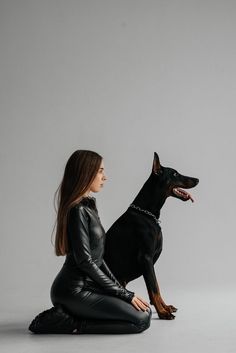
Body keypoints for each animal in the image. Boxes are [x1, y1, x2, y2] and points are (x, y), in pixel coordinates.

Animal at [104, 151, 198, 320]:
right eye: (175, 173)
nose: (197, 180)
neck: (147, 214)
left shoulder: (149, 262)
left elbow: (155, 286)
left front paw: (165, 307)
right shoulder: (145, 257)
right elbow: (154, 287)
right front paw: (162, 313)